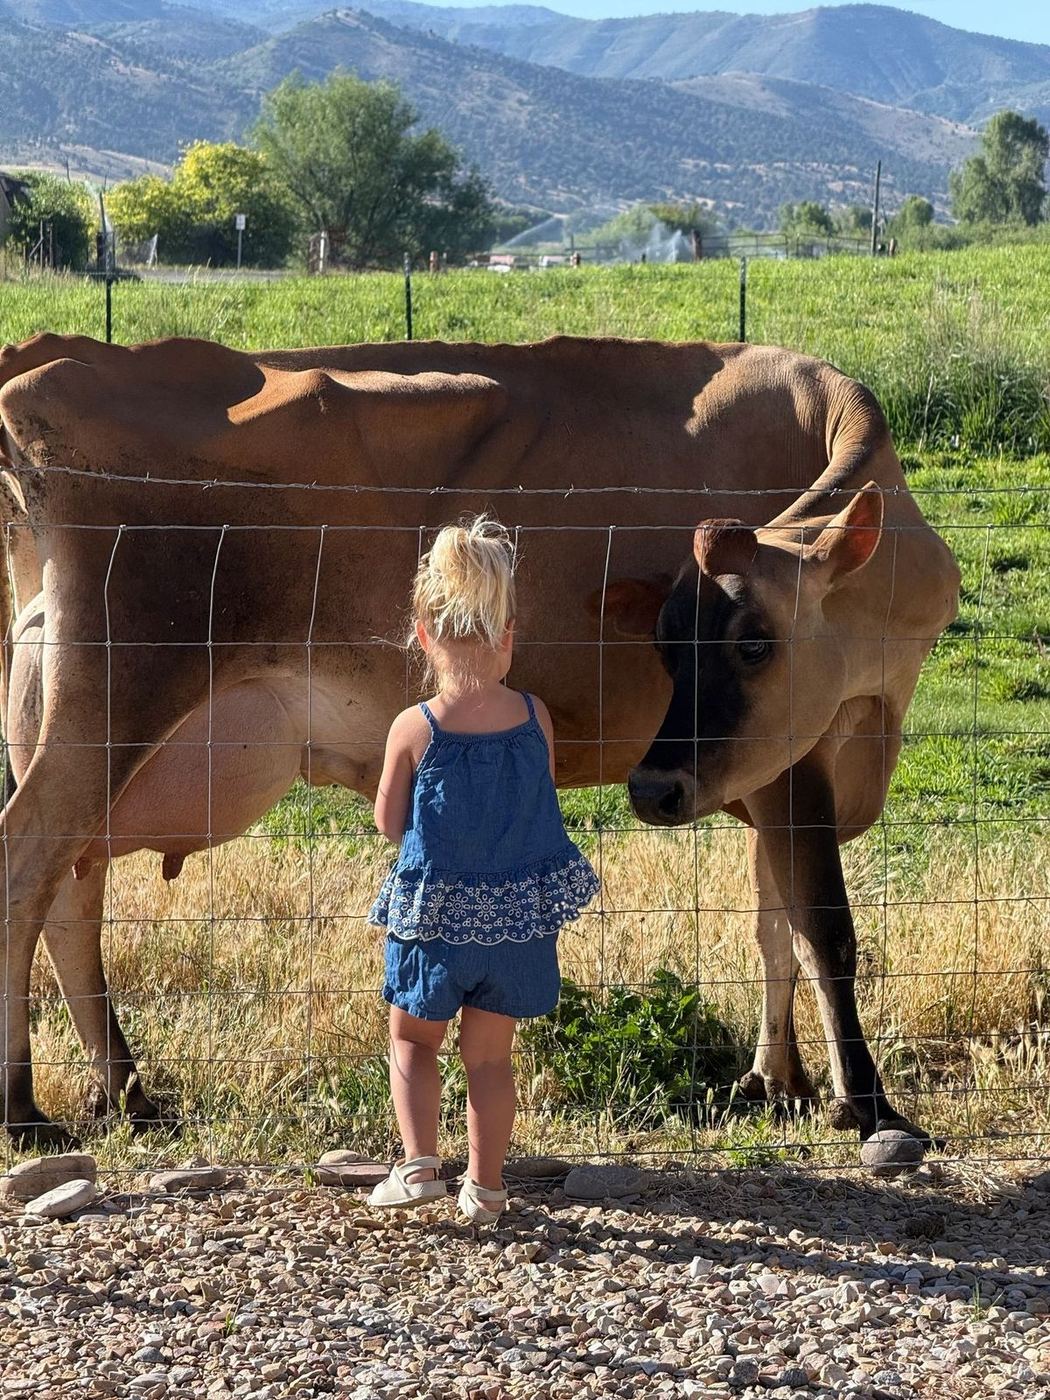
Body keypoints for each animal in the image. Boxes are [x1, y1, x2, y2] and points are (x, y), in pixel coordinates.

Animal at [0, 331, 959, 1149]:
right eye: (672, 643)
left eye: (750, 641)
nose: (651, 790)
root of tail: (50, 363)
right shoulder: (797, 757)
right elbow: (825, 929)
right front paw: (872, 1110)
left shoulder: (767, 761)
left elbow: (773, 924)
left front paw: (777, 1082)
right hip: (114, 699)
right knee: (27, 871)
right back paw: (24, 1112)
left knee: (71, 898)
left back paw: (127, 1093)